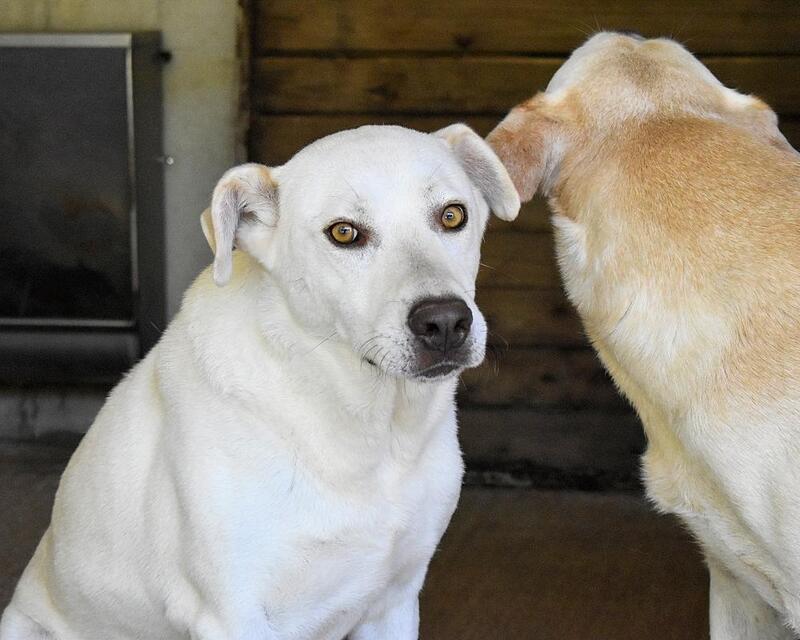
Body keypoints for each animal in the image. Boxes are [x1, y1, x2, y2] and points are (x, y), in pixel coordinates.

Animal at [1, 124, 520, 640]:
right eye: (344, 232)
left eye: (452, 215)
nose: (445, 323)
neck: (370, 431)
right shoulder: (233, 616)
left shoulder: (393, 604)